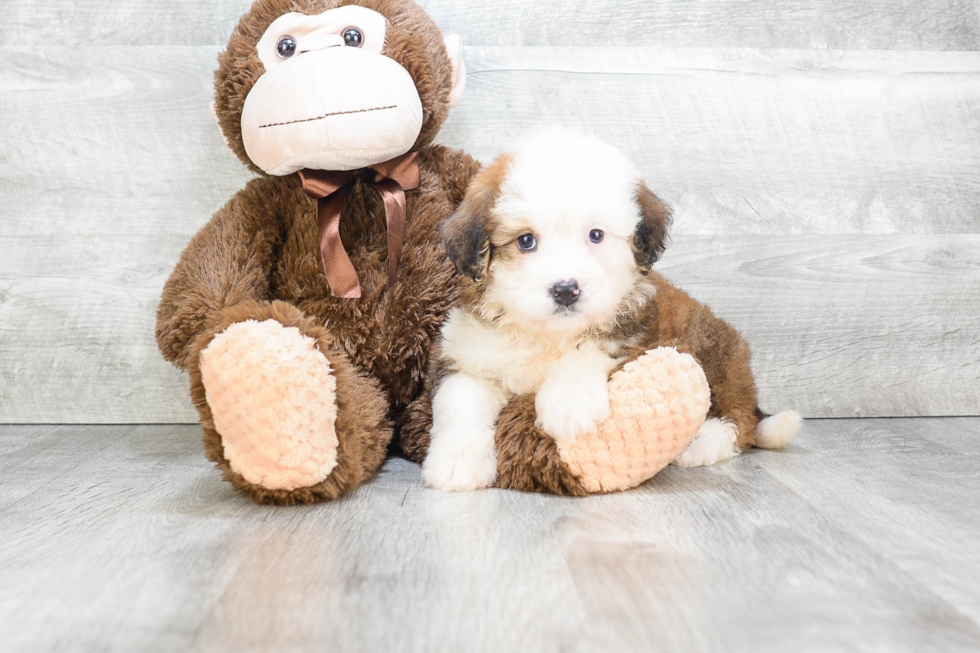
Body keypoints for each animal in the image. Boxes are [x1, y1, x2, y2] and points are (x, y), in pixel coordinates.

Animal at [424, 130, 800, 492]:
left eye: (596, 235)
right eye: (526, 241)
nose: (566, 290)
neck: (549, 336)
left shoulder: (634, 334)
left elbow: (592, 348)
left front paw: (568, 403)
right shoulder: (469, 356)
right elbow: (460, 400)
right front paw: (456, 462)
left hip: (716, 356)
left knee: (739, 421)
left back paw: (702, 442)